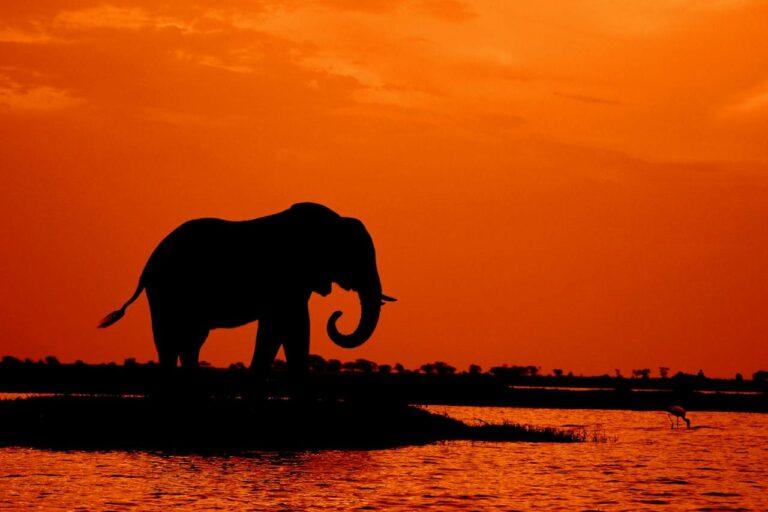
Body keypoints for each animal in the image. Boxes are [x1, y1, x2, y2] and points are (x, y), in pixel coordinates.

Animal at [98, 202, 395, 383]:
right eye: (356, 257)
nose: (338, 314)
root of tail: (147, 265)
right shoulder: (287, 277)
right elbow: (294, 326)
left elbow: (277, 329)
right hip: (166, 291)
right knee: (169, 339)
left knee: (190, 341)